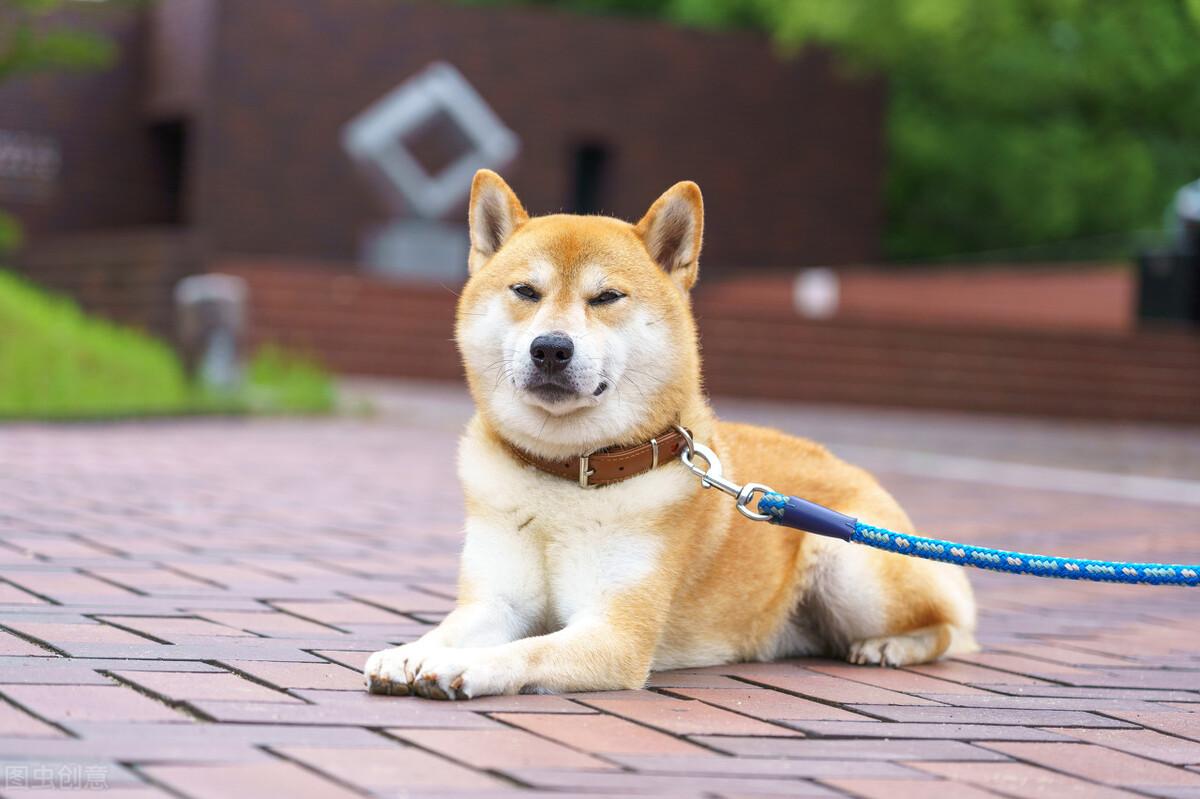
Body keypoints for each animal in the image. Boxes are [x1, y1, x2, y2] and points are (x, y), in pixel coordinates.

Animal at [362, 169, 974, 695]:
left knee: (953, 626)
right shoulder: (496, 603)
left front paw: (458, 666)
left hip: (851, 570)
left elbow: (524, 650)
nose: (551, 348)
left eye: (606, 297)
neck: (568, 472)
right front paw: (411, 652)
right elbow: (452, 628)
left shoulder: (615, 633)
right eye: (525, 292)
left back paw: (889, 646)